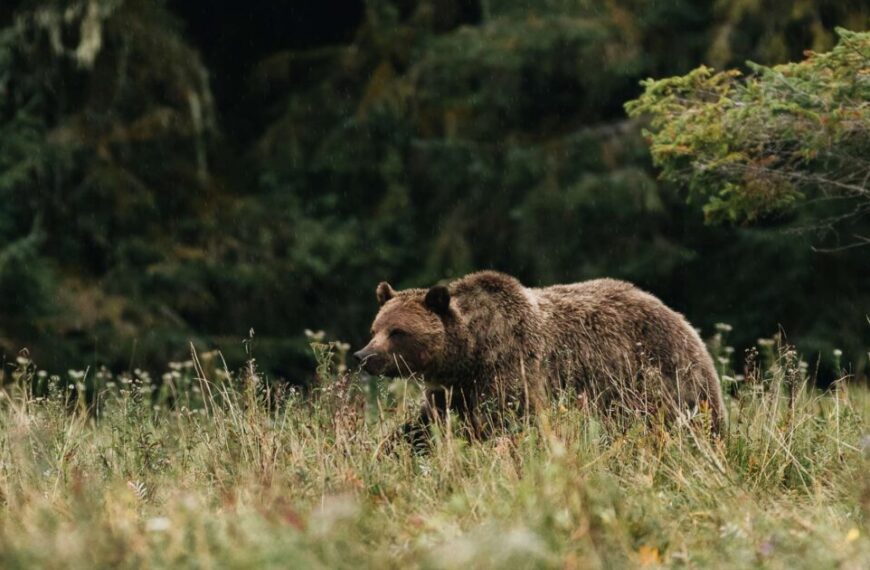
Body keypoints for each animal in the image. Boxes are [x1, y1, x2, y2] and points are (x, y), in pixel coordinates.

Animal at [353, 271, 724, 445]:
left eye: (398, 332)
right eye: (375, 328)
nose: (363, 356)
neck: (471, 350)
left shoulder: (510, 369)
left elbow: (509, 422)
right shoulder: (454, 390)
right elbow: (422, 427)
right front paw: (387, 448)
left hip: (656, 376)